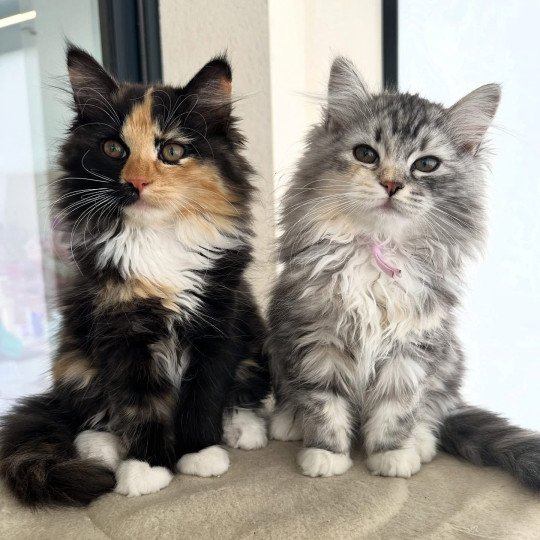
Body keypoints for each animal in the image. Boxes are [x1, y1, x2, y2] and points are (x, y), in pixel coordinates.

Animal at [0, 46, 270, 507]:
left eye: (172, 151)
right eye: (113, 148)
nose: (137, 182)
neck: (155, 240)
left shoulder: (218, 324)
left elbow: (204, 395)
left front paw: (200, 453)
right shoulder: (120, 333)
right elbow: (140, 404)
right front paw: (147, 467)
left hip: (254, 333)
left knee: (243, 391)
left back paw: (244, 429)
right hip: (74, 360)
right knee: (86, 417)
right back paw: (104, 449)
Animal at [267, 56, 540, 490]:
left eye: (426, 164)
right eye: (366, 154)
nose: (392, 184)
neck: (376, 249)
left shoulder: (412, 346)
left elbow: (397, 409)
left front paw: (392, 456)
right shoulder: (317, 337)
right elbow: (323, 402)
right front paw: (326, 455)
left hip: (449, 360)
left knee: (435, 410)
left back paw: (421, 443)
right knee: (291, 394)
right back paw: (290, 422)